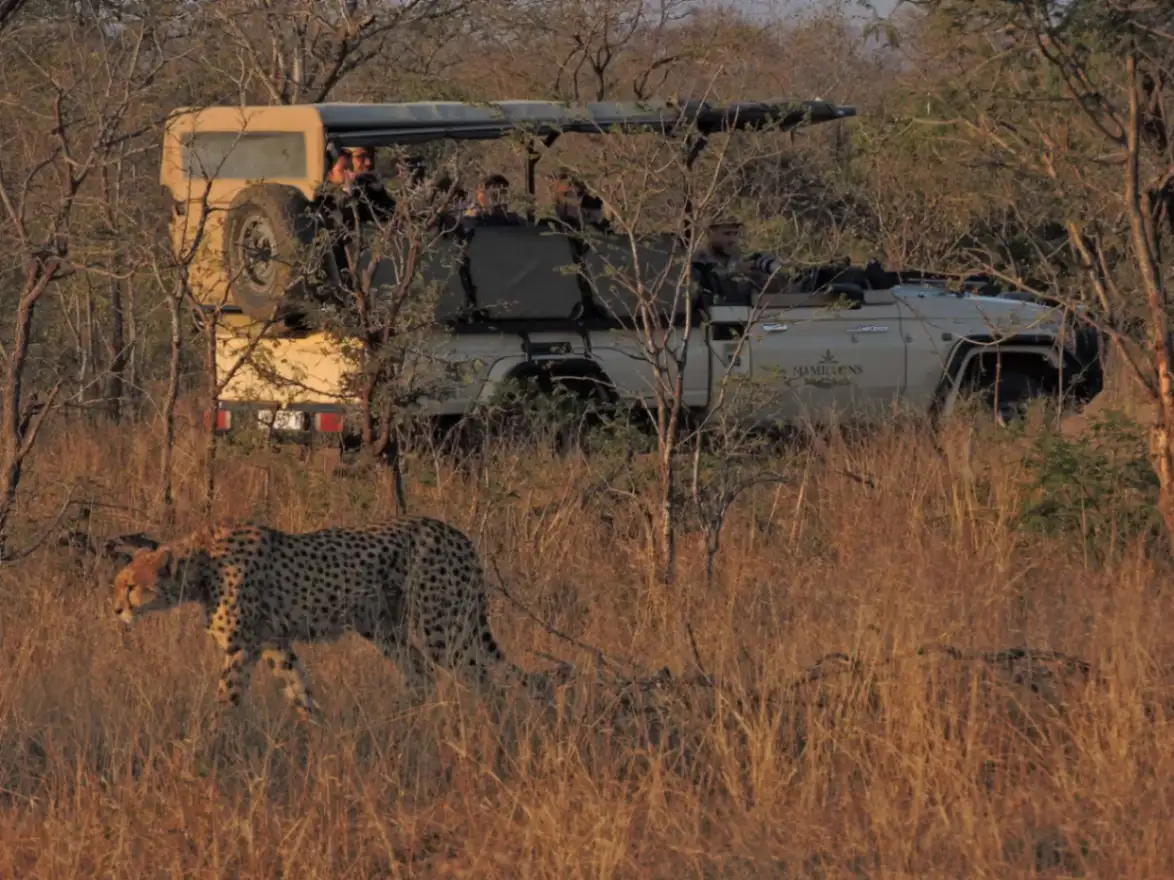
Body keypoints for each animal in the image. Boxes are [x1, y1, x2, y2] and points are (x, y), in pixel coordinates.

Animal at [111, 515, 527, 720]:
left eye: (131, 587)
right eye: (118, 584)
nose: (116, 610)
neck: (200, 564)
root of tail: (455, 532)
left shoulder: (243, 647)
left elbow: (227, 697)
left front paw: (211, 743)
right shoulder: (274, 643)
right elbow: (299, 690)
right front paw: (317, 734)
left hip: (443, 627)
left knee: (484, 680)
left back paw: (496, 727)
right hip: (382, 627)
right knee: (421, 673)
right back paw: (391, 723)